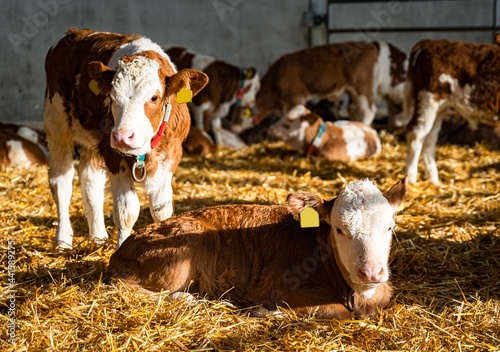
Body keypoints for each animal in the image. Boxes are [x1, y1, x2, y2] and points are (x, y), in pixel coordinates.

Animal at [43, 28, 207, 248]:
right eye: (112, 98)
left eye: (154, 98)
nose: (123, 136)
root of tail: (74, 33)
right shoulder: (114, 156)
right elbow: (126, 212)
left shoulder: (170, 155)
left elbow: (161, 209)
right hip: (57, 124)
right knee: (61, 182)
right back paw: (62, 240)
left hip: (89, 141)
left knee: (90, 180)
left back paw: (98, 236)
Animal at [109, 179, 406, 320]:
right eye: (339, 229)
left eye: (390, 227)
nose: (371, 272)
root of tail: (121, 249)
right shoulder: (279, 287)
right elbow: (334, 310)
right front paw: (264, 311)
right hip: (190, 244)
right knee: (125, 288)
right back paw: (190, 299)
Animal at [254, 41, 406, 125]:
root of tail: (370, 45)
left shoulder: (295, 95)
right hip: (354, 91)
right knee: (356, 110)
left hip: (361, 87)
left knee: (369, 110)